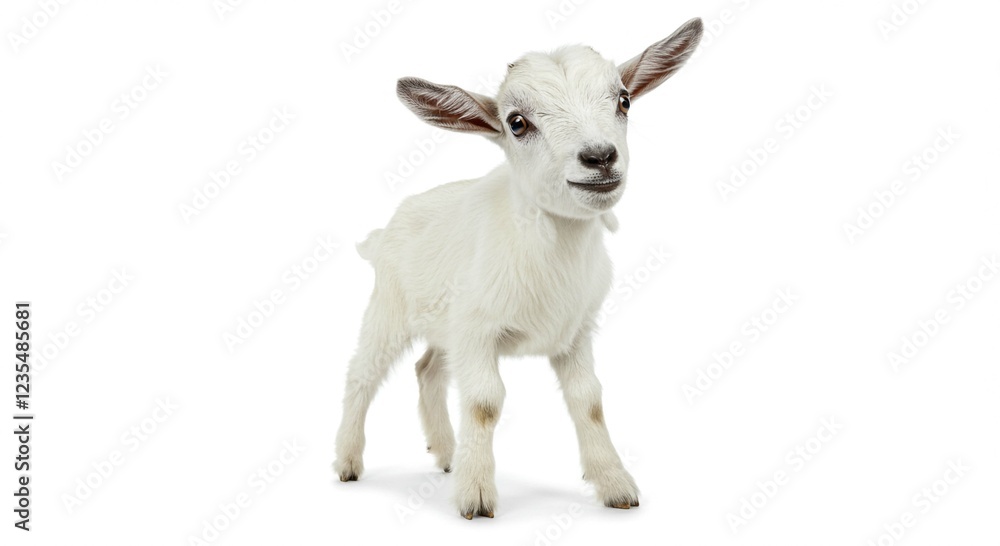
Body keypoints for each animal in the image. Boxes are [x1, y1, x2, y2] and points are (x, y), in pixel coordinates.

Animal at [334, 18, 703, 519]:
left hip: (445, 327)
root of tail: (385, 229)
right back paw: (348, 461)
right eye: (517, 122)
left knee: (428, 370)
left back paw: (447, 454)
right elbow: (484, 403)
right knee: (363, 374)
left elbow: (589, 401)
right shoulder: (477, 332)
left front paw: (615, 485)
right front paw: (475, 496)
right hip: (389, 308)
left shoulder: (575, 332)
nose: (600, 157)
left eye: (624, 100)